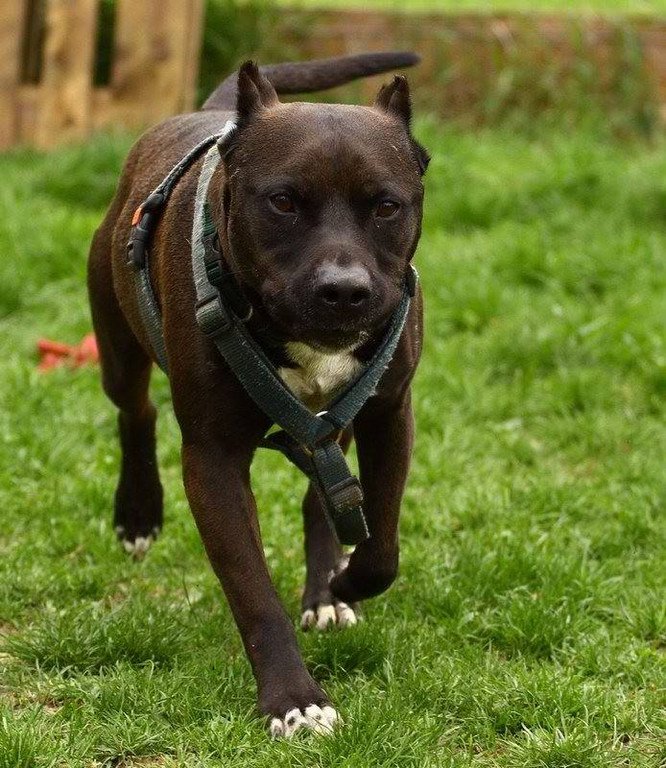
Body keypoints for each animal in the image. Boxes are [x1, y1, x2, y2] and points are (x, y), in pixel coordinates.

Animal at [88, 52, 428, 737]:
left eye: (386, 206)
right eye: (283, 201)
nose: (344, 290)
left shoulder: (388, 412)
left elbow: (381, 544)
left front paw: (342, 586)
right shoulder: (213, 460)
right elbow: (253, 590)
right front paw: (293, 699)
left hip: (334, 416)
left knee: (323, 488)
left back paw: (325, 590)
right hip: (118, 349)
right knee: (136, 410)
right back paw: (138, 512)